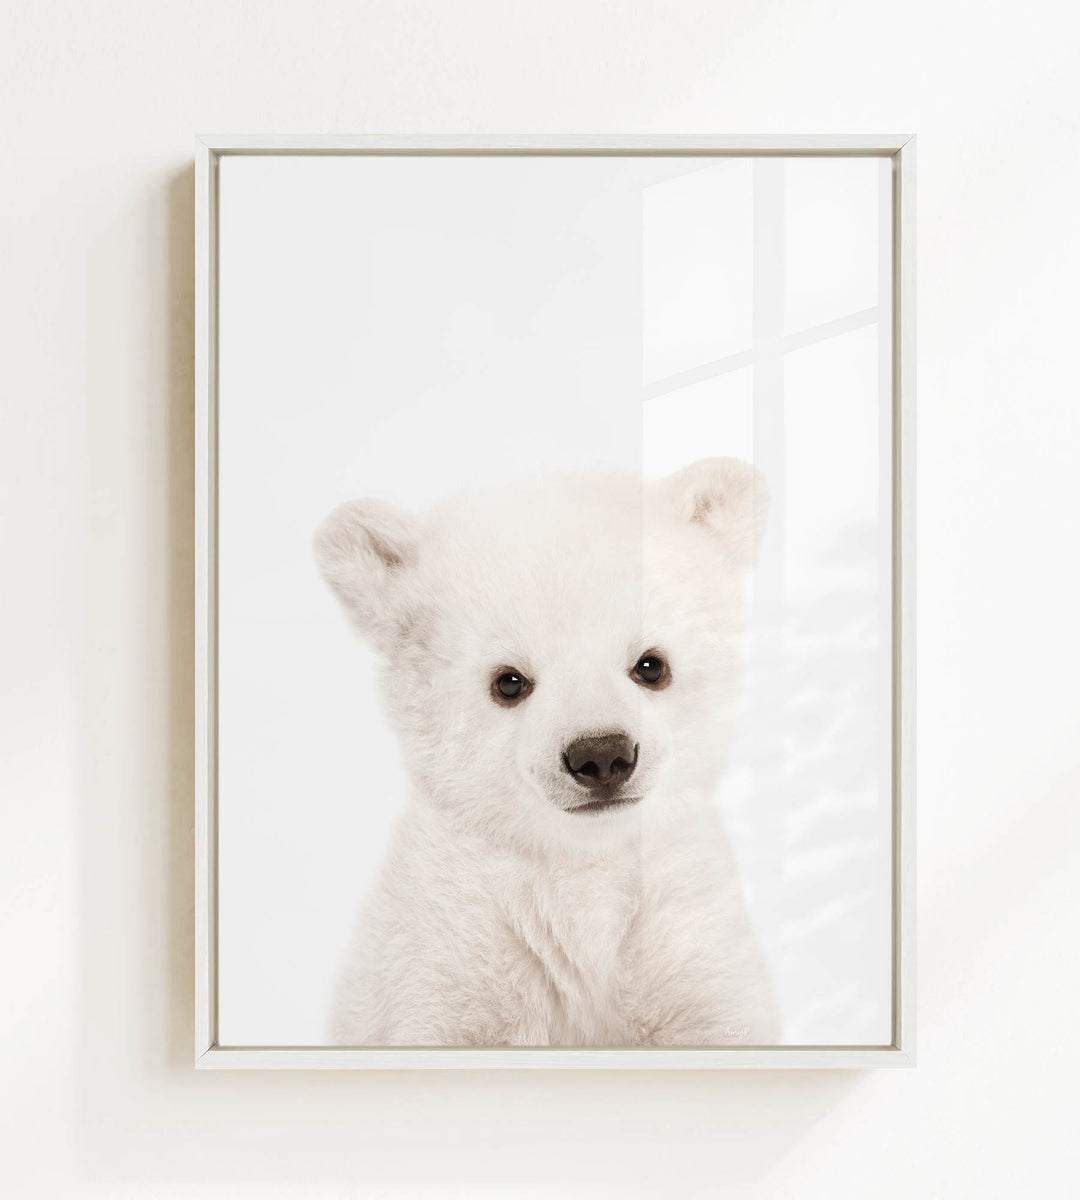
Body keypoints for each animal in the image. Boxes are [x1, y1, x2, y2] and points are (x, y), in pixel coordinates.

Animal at [315, 457, 778, 1046]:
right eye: (509, 681)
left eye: (651, 664)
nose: (601, 756)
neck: (581, 867)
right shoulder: (448, 941)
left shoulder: (684, 930)